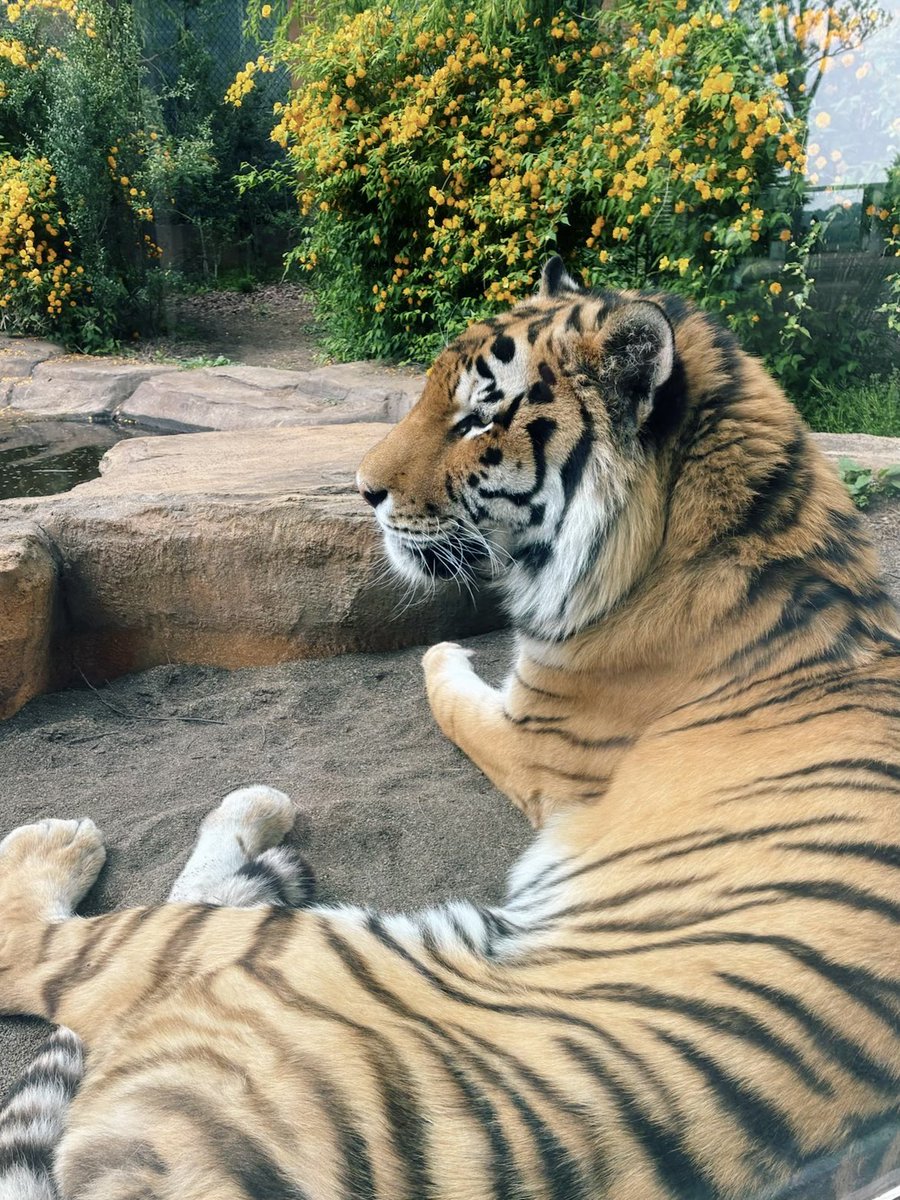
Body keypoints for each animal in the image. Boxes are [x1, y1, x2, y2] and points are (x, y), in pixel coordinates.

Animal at [0, 254, 898, 1199]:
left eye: (477, 418)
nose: (361, 491)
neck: (731, 531)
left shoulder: (535, 736)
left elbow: (448, 692)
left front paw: (440, 650)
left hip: (284, 954)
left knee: (45, 951)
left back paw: (94, 834)